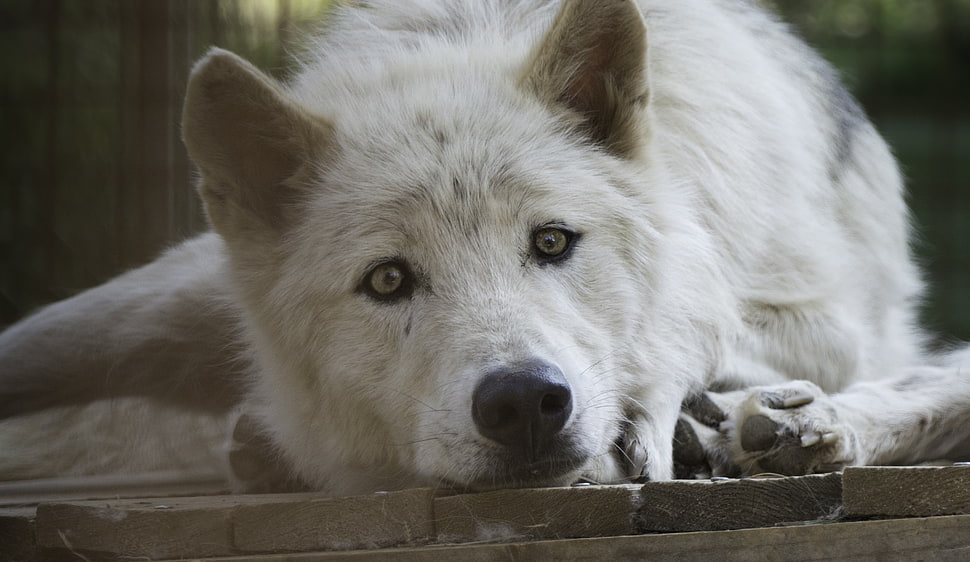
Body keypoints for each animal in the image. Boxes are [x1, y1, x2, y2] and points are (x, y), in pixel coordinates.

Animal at [1, 0, 968, 497]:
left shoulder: (833, 321)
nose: (523, 403)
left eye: (553, 241)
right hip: (161, 306)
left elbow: (699, 315)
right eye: (388, 279)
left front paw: (656, 414)